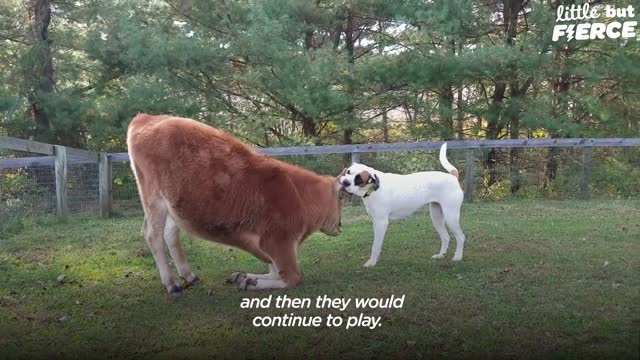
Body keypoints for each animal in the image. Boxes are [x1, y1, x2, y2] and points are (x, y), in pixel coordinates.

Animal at [126, 114, 344, 294]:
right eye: (341, 197)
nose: (340, 226)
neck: (297, 195)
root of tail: (146, 118)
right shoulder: (278, 241)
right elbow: (292, 278)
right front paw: (252, 282)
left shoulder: (268, 245)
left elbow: (274, 270)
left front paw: (245, 277)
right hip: (154, 199)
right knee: (152, 234)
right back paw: (172, 284)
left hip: (174, 206)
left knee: (170, 234)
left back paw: (189, 276)